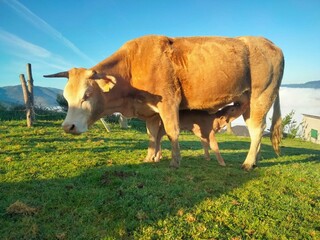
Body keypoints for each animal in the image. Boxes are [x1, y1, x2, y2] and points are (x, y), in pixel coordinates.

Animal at [43, 35, 284, 171]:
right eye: (66, 97)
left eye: (86, 95)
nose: (68, 127)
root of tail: (269, 43)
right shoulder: (150, 112)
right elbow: (152, 135)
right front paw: (150, 157)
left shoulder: (169, 102)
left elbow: (171, 132)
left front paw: (175, 161)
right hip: (247, 103)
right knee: (257, 131)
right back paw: (256, 159)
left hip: (261, 97)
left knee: (257, 130)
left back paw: (248, 163)